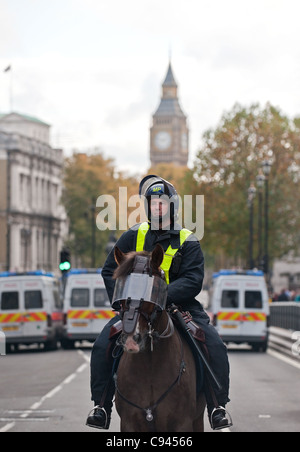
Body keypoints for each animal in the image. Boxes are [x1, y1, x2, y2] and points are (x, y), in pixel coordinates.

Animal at [110, 245, 206, 432]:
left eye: (152, 290)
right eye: (122, 288)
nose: (131, 339)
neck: (151, 365)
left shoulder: (182, 423)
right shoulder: (129, 423)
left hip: (198, 419)